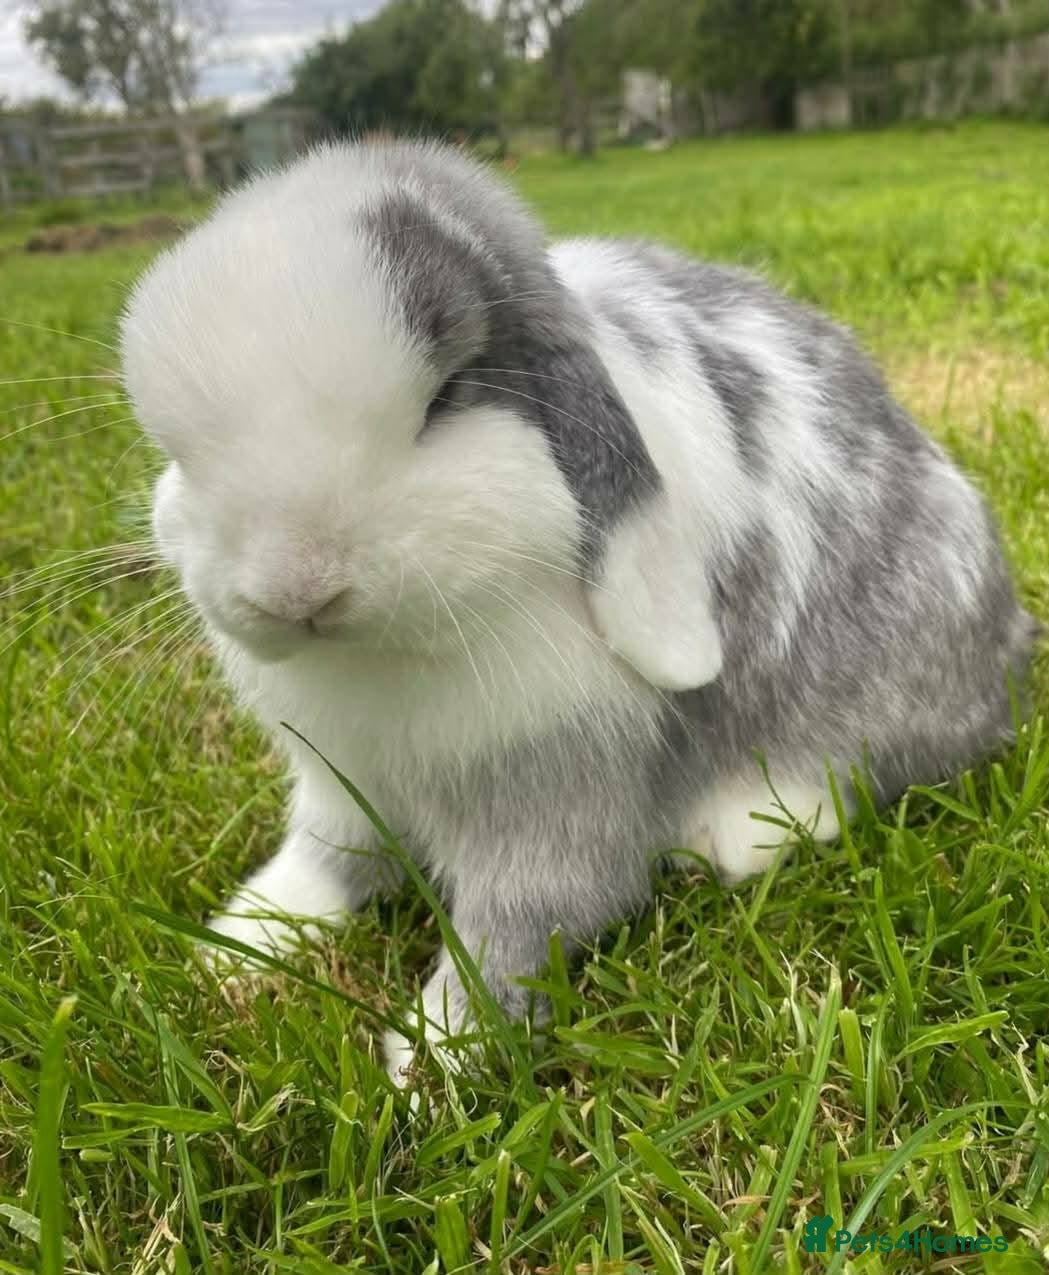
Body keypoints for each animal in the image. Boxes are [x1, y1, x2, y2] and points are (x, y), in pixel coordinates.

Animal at [120, 138, 1036, 1084]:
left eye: (446, 397)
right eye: (177, 454)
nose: (295, 587)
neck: (385, 652)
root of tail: (1011, 647)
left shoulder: (561, 798)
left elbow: (522, 924)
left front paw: (435, 1060)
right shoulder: (341, 783)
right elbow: (322, 862)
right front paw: (234, 947)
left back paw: (746, 829)